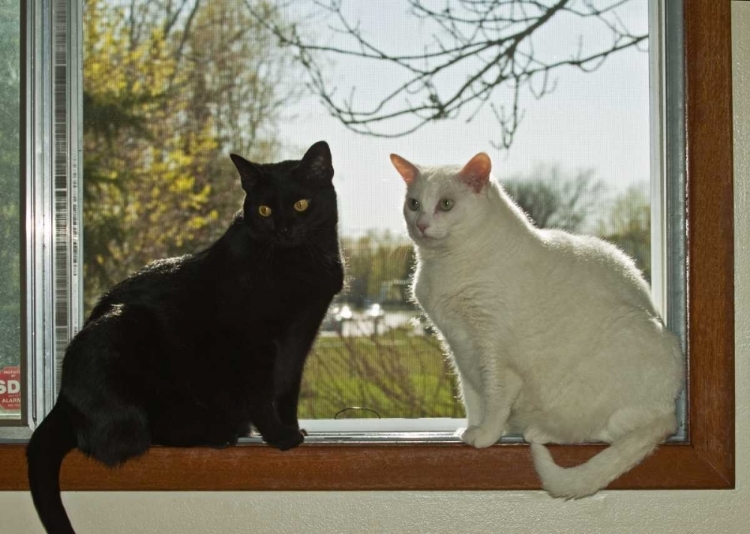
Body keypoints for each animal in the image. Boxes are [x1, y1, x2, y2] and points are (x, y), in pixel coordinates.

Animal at [27, 140, 346, 532]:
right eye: (264, 209)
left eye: (302, 204)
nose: (284, 230)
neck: (298, 263)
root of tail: (63, 401)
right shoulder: (254, 341)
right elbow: (262, 394)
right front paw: (279, 436)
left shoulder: (300, 337)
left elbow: (287, 389)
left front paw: (293, 429)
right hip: (123, 337)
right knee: (140, 435)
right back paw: (218, 432)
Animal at [394, 150, 688, 498]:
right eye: (413, 203)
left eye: (446, 204)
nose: (421, 224)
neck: (445, 267)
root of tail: (670, 411)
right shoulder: (459, 346)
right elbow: (472, 397)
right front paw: (470, 429)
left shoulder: (493, 351)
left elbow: (494, 398)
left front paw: (486, 435)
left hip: (621, 347)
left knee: (603, 430)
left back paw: (540, 432)